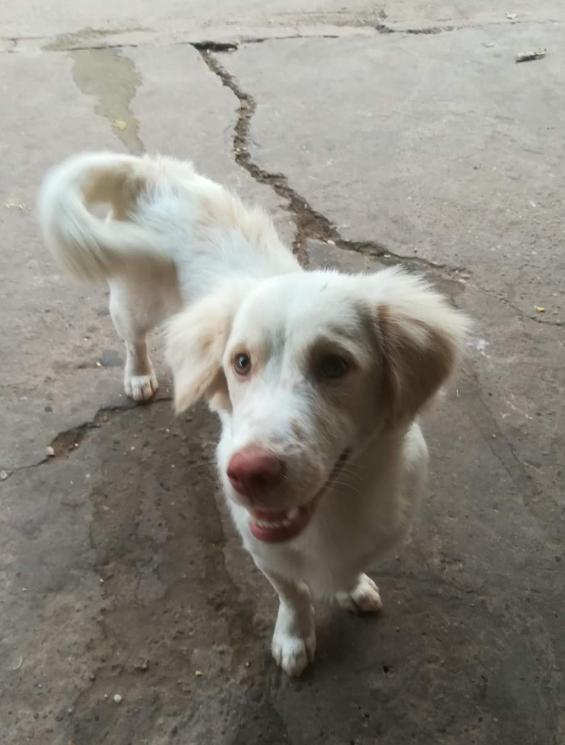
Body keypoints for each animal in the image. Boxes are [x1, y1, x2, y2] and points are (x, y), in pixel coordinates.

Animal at [39, 151, 470, 676]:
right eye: (240, 362)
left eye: (335, 365)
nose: (247, 474)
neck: (337, 506)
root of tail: (149, 169)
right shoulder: (261, 545)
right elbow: (293, 594)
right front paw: (294, 639)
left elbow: (347, 569)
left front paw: (351, 589)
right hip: (133, 298)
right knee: (132, 338)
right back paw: (139, 375)